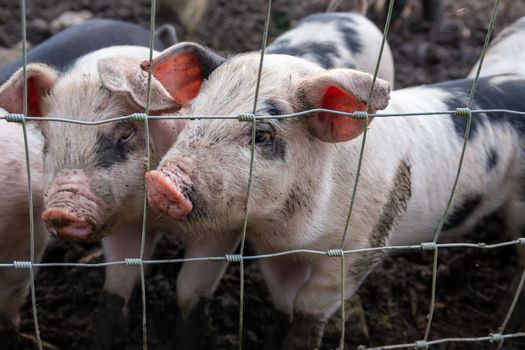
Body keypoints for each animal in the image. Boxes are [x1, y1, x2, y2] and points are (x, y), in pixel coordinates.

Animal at [142, 39, 524, 350]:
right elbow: (283, 301)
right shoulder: (274, 252)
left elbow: (308, 307)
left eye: (262, 135)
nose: (161, 181)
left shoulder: (360, 249)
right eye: (191, 116)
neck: (293, 231)